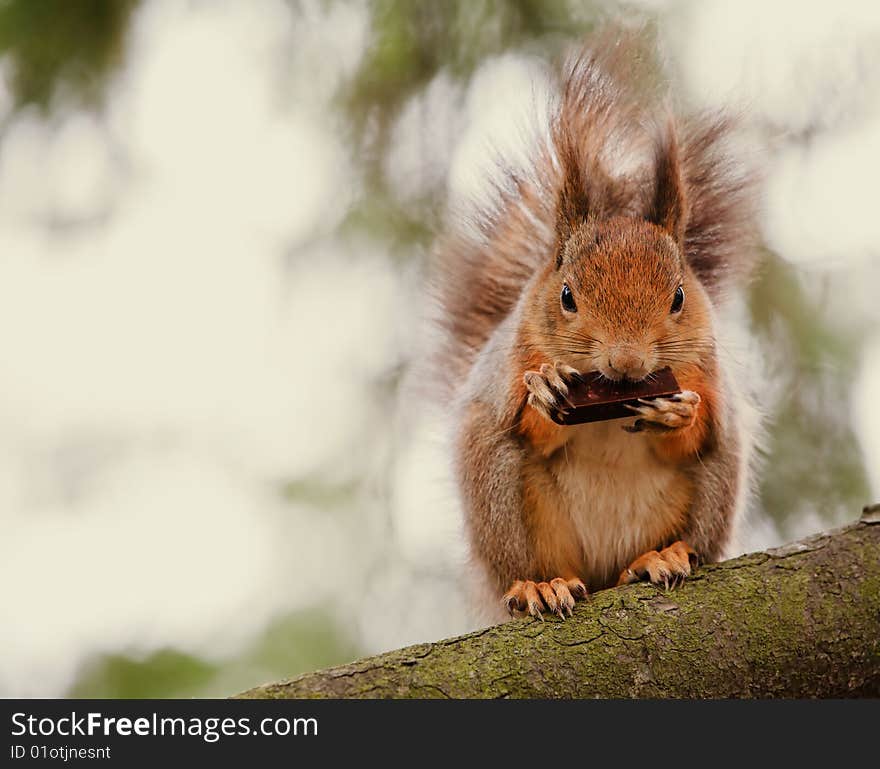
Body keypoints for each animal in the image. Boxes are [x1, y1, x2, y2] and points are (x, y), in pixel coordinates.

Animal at [430, 33, 760, 620]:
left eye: (680, 297)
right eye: (566, 296)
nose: (627, 363)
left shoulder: (707, 369)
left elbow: (698, 429)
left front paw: (676, 412)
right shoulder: (511, 363)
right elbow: (528, 420)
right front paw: (546, 390)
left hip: (715, 488)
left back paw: (657, 558)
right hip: (499, 494)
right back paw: (542, 587)